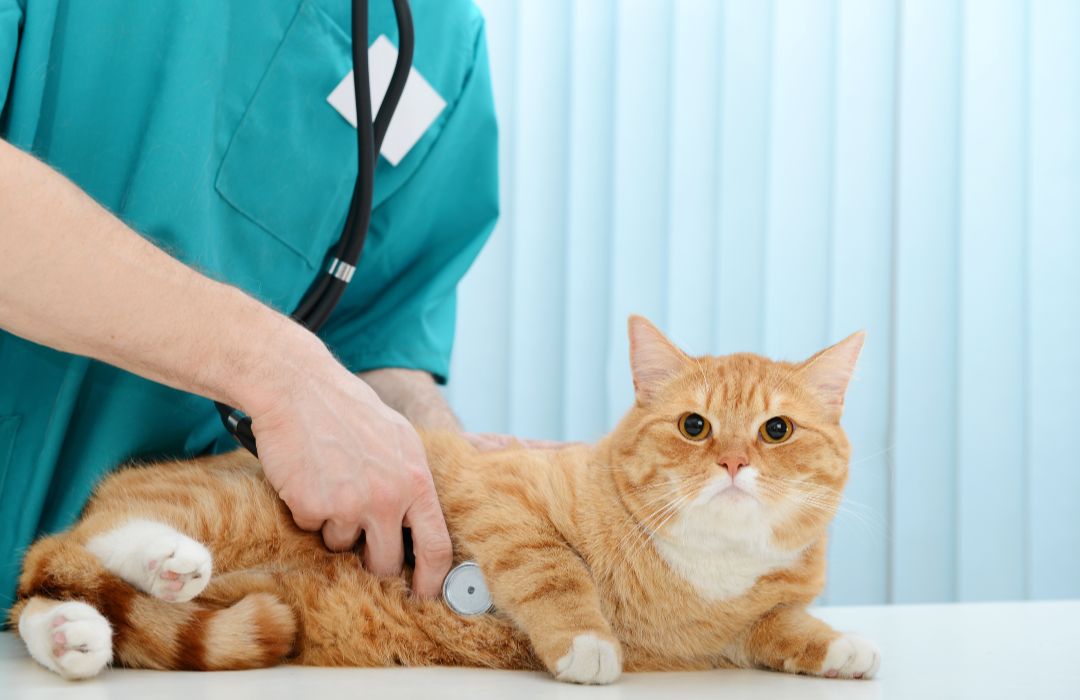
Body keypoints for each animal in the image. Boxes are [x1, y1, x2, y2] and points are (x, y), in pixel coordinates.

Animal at [12, 317, 881, 682]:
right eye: (694, 426)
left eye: (776, 430)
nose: (733, 461)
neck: (703, 571)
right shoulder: (502, 503)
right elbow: (555, 572)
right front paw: (587, 644)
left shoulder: (748, 621)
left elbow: (786, 626)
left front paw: (842, 648)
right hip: (222, 509)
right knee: (70, 547)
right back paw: (163, 559)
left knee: (61, 595)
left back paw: (72, 638)